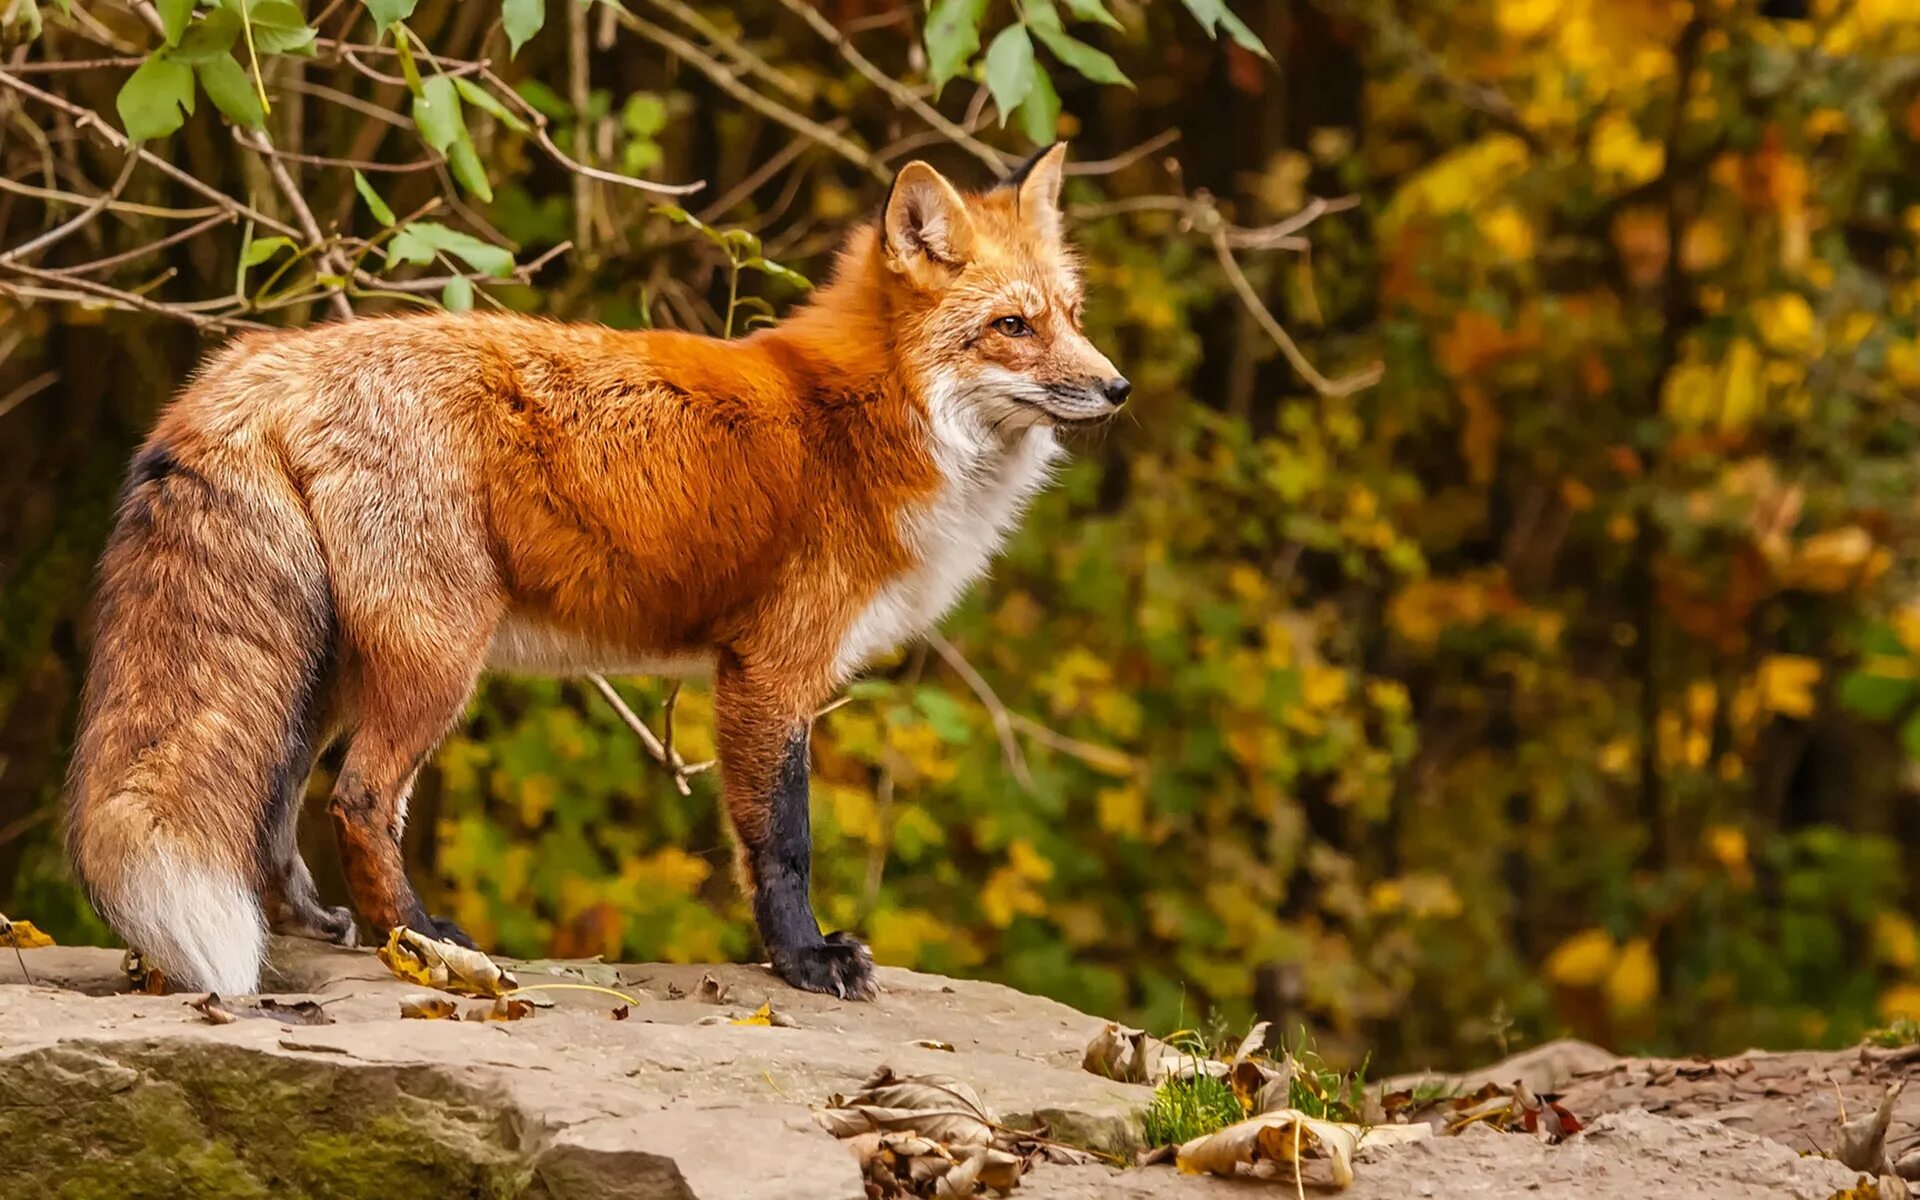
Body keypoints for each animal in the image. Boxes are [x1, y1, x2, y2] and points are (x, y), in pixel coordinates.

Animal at [63, 144, 1121, 998]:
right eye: (1013, 326)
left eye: (1073, 315)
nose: (1116, 387)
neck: (872, 416)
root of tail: (258, 359)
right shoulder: (770, 668)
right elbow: (782, 841)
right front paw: (805, 960)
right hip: (437, 654)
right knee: (358, 801)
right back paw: (421, 939)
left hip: (323, 666)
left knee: (276, 812)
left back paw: (326, 926)